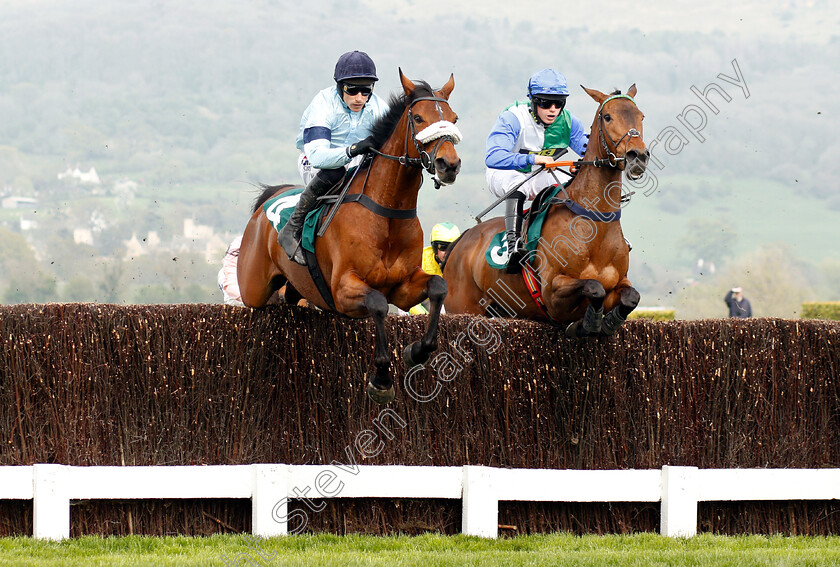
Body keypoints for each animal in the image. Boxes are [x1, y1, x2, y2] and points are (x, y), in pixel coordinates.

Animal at [235, 72, 460, 404]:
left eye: (454, 118)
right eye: (418, 118)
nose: (449, 165)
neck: (386, 212)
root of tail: (269, 200)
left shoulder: (404, 287)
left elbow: (438, 287)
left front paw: (416, 351)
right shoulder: (342, 290)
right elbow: (378, 303)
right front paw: (382, 379)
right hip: (252, 288)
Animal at [446, 84, 648, 338]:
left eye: (641, 116)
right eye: (608, 116)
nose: (637, 156)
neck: (595, 222)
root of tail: (461, 240)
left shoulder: (620, 282)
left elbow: (631, 296)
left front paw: (607, 322)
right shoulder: (552, 293)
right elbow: (594, 287)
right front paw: (587, 323)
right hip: (462, 308)